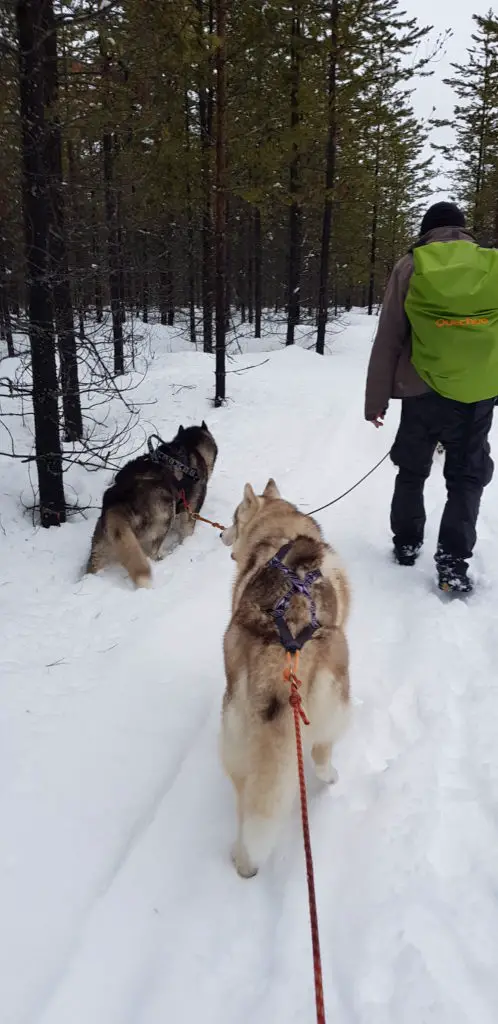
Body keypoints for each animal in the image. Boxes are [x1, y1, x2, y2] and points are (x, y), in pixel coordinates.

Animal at [86, 421, 218, 585]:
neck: (189, 446)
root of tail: (118, 500)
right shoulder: (190, 511)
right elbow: (187, 532)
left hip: (103, 544)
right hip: (164, 518)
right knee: (152, 554)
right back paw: (163, 556)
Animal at [220, 479, 352, 880]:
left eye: (234, 519)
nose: (221, 534)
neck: (279, 530)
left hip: (234, 743)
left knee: (247, 806)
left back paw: (244, 860)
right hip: (338, 698)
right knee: (321, 752)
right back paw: (331, 776)